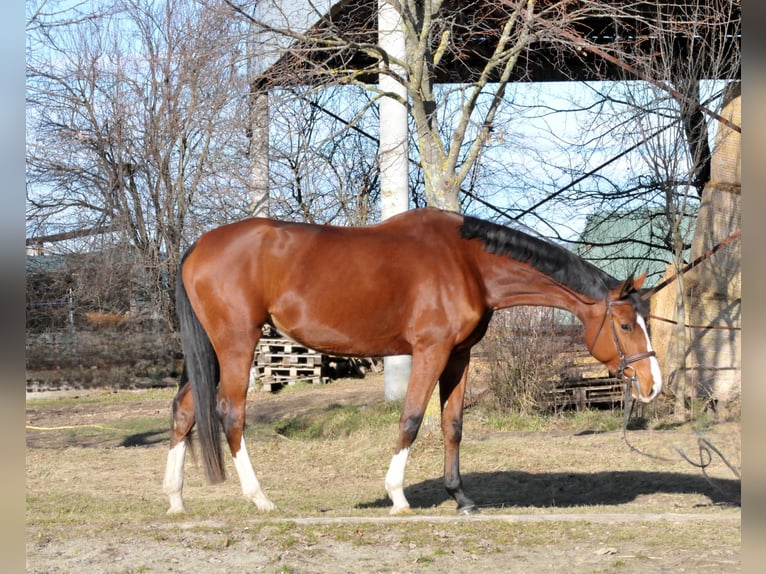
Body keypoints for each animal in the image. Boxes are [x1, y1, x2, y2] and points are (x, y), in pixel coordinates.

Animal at [163, 208, 662, 515]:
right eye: (624, 324)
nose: (652, 383)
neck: (466, 263)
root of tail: (197, 246)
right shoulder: (431, 351)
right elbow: (411, 418)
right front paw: (397, 495)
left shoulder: (459, 355)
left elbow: (452, 425)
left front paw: (461, 498)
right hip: (236, 343)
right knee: (230, 412)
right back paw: (259, 498)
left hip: (210, 351)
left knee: (184, 410)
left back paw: (175, 499)